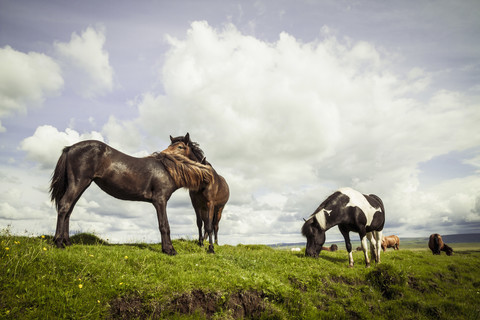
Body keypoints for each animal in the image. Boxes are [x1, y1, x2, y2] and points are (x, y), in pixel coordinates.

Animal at [49, 140, 213, 255]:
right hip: (79, 183)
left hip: (81, 185)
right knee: (64, 206)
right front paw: (169, 250)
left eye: (180, 146)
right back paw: (58, 243)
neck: (168, 169)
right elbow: (164, 225)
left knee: (69, 210)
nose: (162, 153)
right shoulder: (160, 201)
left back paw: (67, 243)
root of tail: (70, 148)